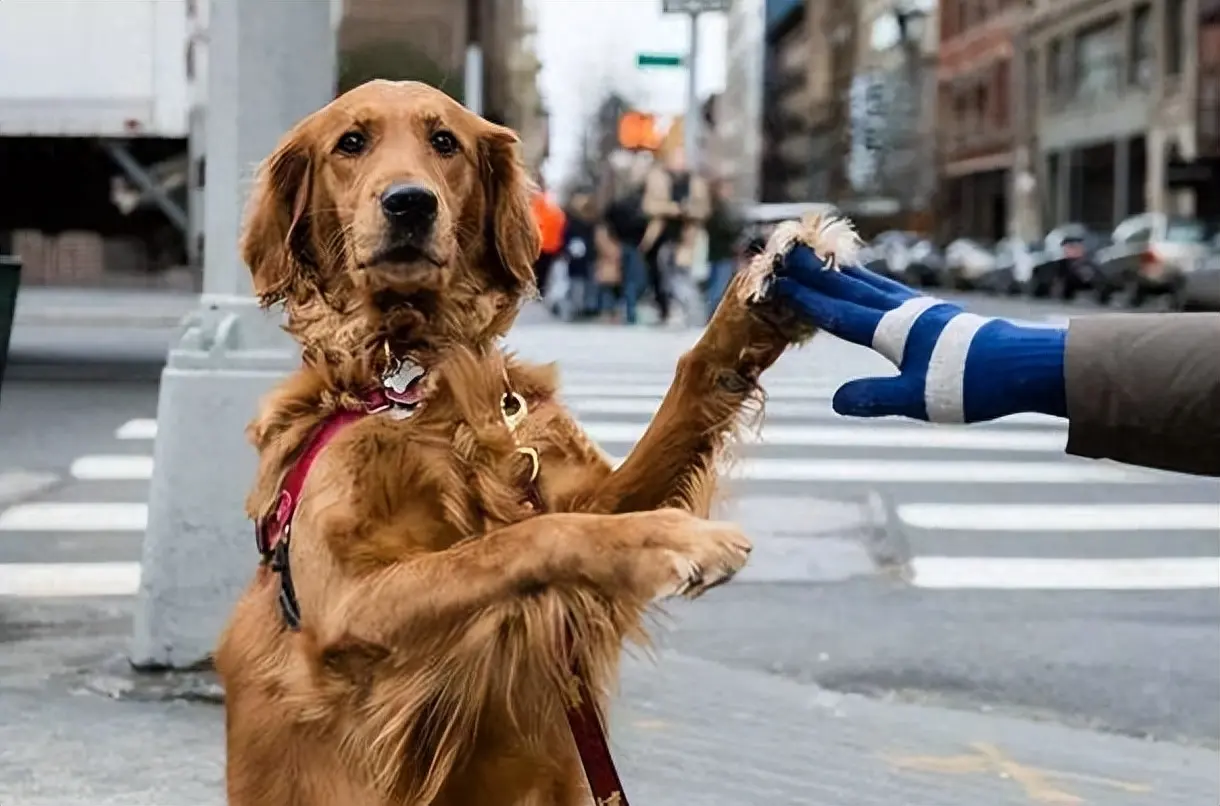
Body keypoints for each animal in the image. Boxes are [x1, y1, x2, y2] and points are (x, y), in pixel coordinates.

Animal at [214, 77, 854, 804]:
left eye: (445, 142)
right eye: (351, 142)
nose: (409, 202)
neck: (412, 379)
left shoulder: (577, 491)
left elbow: (678, 403)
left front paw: (763, 301)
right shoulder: (345, 609)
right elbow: (518, 541)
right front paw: (675, 539)